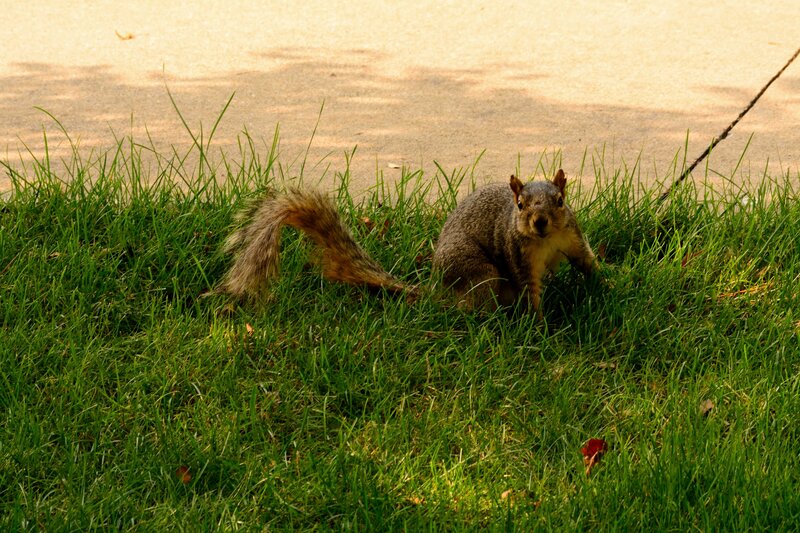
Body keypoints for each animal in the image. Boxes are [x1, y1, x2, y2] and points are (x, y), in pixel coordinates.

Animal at [219, 169, 598, 317]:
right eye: (520, 205)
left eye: (560, 201)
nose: (539, 221)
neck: (546, 240)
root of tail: (438, 291)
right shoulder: (518, 254)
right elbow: (529, 289)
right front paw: (539, 324)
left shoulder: (571, 235)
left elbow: (586, 260)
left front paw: (602, 286)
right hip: (481, 273)